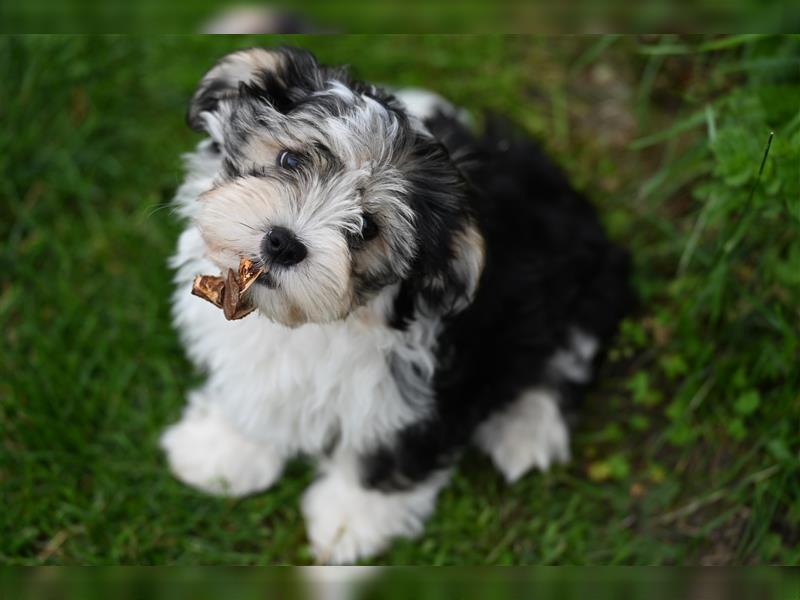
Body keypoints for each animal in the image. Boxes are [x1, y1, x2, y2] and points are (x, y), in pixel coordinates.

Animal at [162, 47, 636, 564]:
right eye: (290, 158)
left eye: (368, 227)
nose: (283, 243)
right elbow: (254, 390)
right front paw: (223, 451)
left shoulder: (425, 385)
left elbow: (389, 448)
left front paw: (351, 520)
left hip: (588, 288)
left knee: (564, 360)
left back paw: (525, 431)